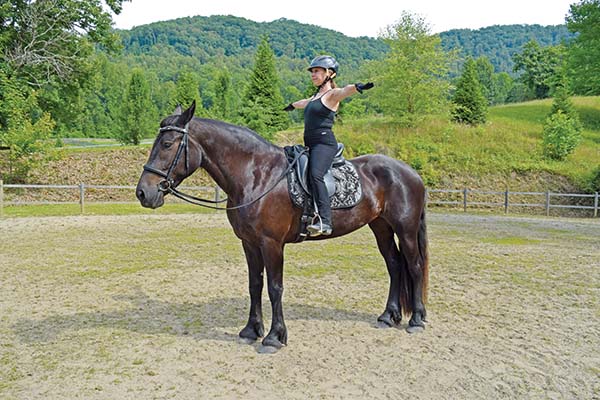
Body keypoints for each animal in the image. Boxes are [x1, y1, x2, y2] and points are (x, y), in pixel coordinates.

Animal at [137, 103, 426, 354]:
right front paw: (251, 330)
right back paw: (388, 316)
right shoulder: (249, 243)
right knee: (394, 265)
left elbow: (275, 287)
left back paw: (417, 320)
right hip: (381, 227)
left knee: (414, 266)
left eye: (166, 144)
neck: (257, 175)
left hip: (406, 229)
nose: (143, 193)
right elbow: (254, 284)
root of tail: (410, 172)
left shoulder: (271, 243)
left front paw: (274, 337)